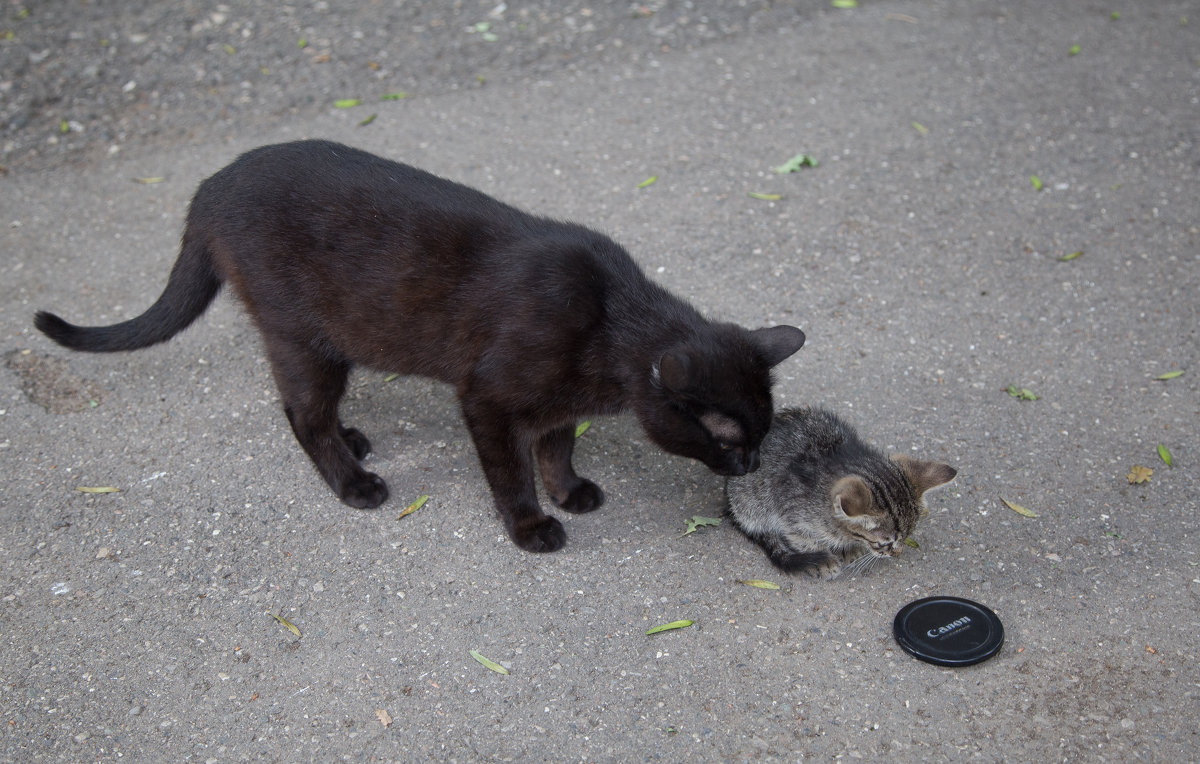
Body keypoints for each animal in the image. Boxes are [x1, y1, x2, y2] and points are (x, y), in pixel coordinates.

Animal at [35, 138, 806, 554]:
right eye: (729, 439)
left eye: (761, 436)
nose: (750, 465)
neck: (610, 320)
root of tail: (208, 186)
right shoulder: (488, 398)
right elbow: (512, 471)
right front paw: (531, 524)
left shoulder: (557, 404)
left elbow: (557, 446)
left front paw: (570, 491)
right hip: (304, 339)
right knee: (302, 416)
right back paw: (353, 482)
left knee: (300, 409)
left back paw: (354, 440)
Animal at [720, 405, 955, 578]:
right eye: (886, 543)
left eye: (907, 537)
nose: (897, 553)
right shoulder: (790, 517)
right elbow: (804, 540)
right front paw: (822, 557)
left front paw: (848, 547)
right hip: (749, 504)